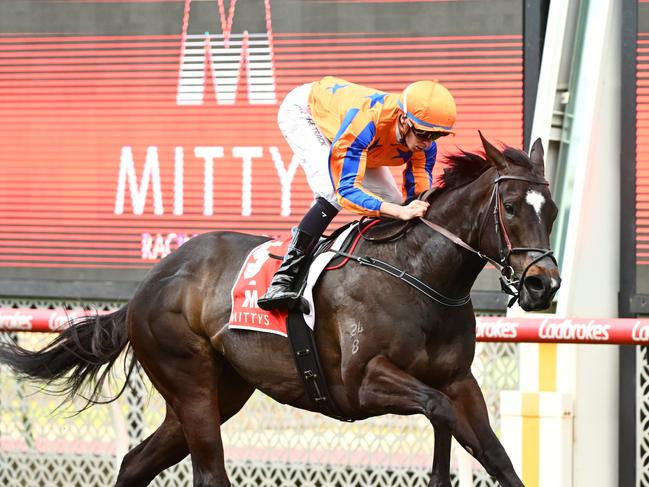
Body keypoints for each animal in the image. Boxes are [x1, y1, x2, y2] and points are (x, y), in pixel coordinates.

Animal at [0, 133, 556, 487]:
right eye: (510, 208)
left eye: (549, 210)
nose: (543, 285)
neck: (418, 274)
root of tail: (145, 288)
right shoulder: (361, 382)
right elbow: (437, 410)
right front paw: (439, 476)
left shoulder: (461, 380)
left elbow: (496, 455)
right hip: (190, 383)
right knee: (209, 473)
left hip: (220, 391)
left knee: (136, 463)